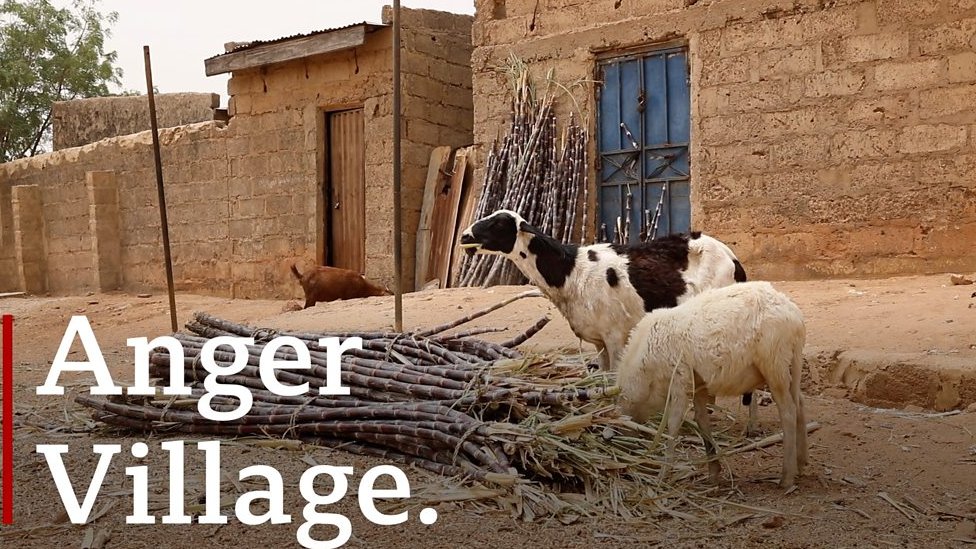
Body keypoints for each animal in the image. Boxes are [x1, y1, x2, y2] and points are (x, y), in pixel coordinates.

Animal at [616, 280, 808, 486]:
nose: (625, 472)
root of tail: (795, 315)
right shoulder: (699, 384)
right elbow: (702, 422)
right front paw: (713, 472)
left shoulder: (680, 381)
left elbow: (673, 425)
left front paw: (663, 474)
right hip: (789, 365)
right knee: (799, 403)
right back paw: (801, 463)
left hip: (774, 364)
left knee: (788, 410)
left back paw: (787, 477)